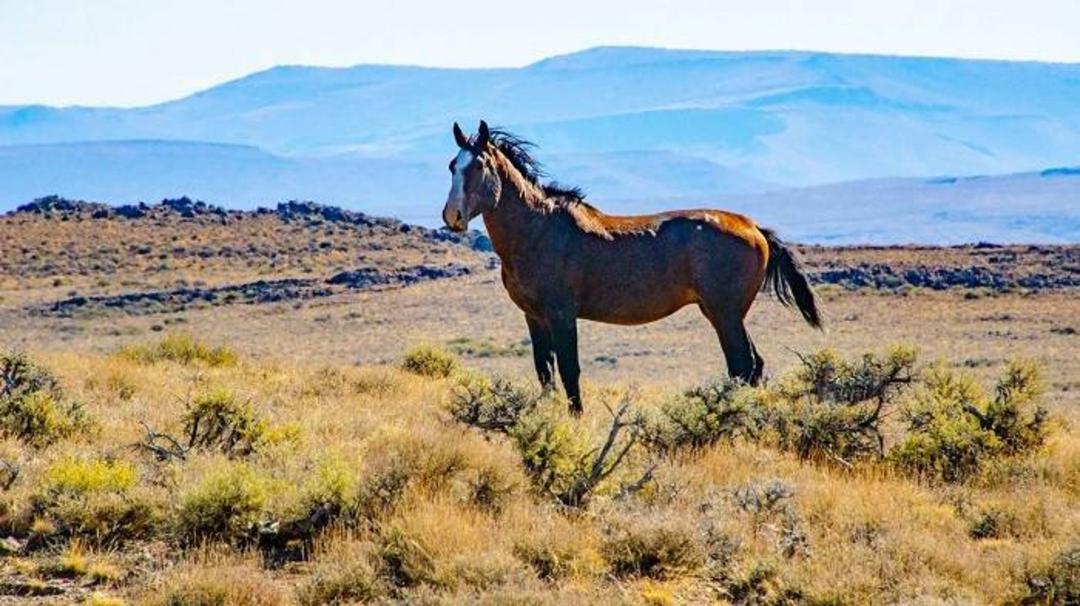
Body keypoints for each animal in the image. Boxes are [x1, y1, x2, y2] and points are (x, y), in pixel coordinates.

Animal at [442, 120, 822, 414]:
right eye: (451, 166)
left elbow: (569, 369)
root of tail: (755, 228)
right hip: (722, 312)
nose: (452, 216)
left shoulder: (561, 313)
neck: (537, 229)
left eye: (478, 166)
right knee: (753, 365)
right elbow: (544, 371)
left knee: (741, 364)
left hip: (724, 312)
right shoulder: (534, 316)